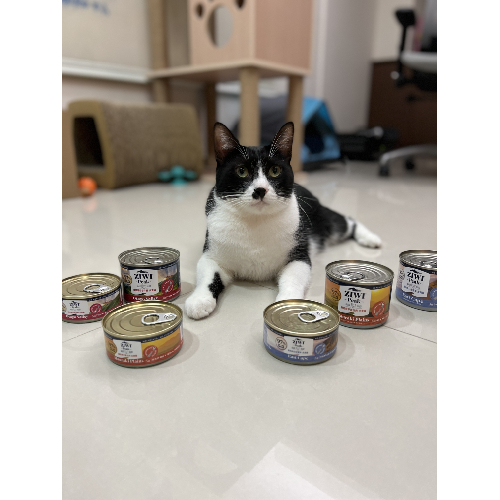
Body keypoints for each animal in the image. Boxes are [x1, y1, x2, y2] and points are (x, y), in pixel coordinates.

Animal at [185, 122, 381, 319]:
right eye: (241, 171)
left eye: (275, 170)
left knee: (346, 221)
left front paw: (287, 305)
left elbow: (292, 278)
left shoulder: (299, 255)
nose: (260, 190)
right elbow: (208, 275)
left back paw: (371, 239)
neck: (255, 221)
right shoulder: (212, 253)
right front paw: (199, 300)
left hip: (324, 221)